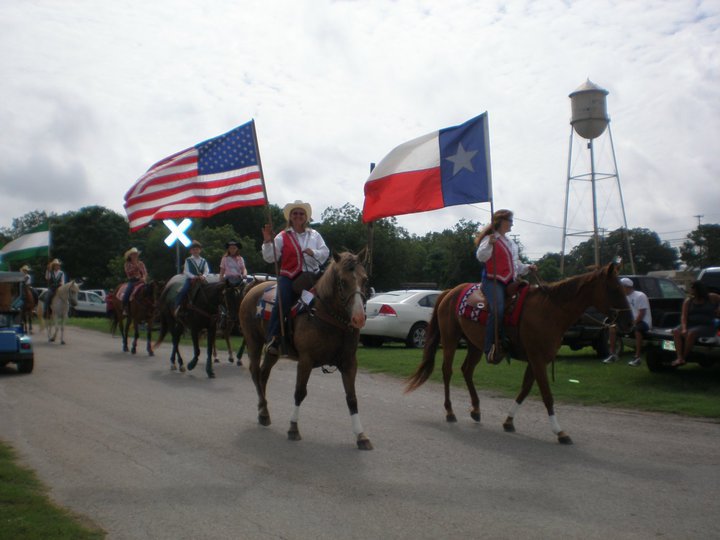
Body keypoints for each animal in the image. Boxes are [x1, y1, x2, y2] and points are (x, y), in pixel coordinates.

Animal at [239, 251, 372, 450]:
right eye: (342, 281)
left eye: (365, 279)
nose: (358, 318)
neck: (327, 315)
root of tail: (255, 287)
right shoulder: (305, 360)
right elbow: (300, 392)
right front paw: (293, 428)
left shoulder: (349, 363)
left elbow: (352, 398)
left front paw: (361, 436)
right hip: (253, 342)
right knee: (255, 373)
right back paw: (263, 412)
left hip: (273, 352)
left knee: (263, 375)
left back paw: (264, 412)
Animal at [404, 264, 632, 446]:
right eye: (614, 289)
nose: (629, 322)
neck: (549, 310)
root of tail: (450, 291)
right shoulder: (538, 359)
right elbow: (547, 395)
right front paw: (560, 432)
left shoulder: (537, 360)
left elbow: (525, 389)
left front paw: (508, 421)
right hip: (450, 340)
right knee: (447, 371)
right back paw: (450, 412)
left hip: (475, 345)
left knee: (466, 370)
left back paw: (476, 409)